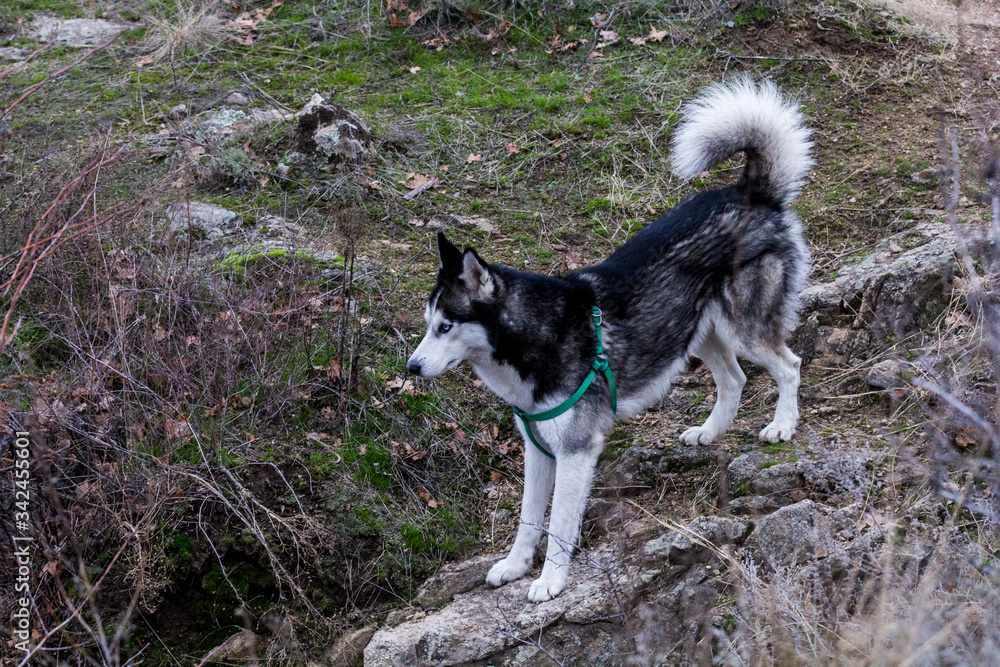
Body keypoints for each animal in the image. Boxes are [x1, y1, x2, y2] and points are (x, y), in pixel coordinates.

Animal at [406, 79, 812, 604]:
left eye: (446, 327)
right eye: (427, 323)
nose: (411, 368)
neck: (536, 335)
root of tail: (750, 191)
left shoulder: (576, 452)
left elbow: (559, 523)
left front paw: (550, 581)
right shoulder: (538, 451)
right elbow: (528, 518)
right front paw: (516, 566)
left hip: (745, 331)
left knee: (789, 365)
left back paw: (782, 425)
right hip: (693, 333)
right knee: (735, 379)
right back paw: (710, 432)